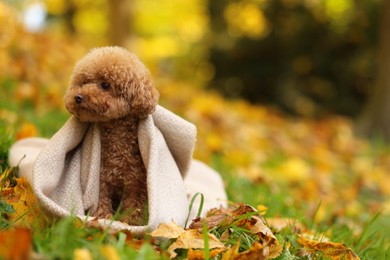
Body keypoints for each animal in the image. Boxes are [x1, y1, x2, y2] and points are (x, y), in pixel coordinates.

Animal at [64, 47, 158, 225]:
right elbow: (101, 202)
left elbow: (134, 206)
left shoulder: (136, 183)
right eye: (83, 83)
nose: (78, 97)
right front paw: (104, 219)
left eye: (105, 85)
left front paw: (129, 223)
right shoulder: (101, 179)